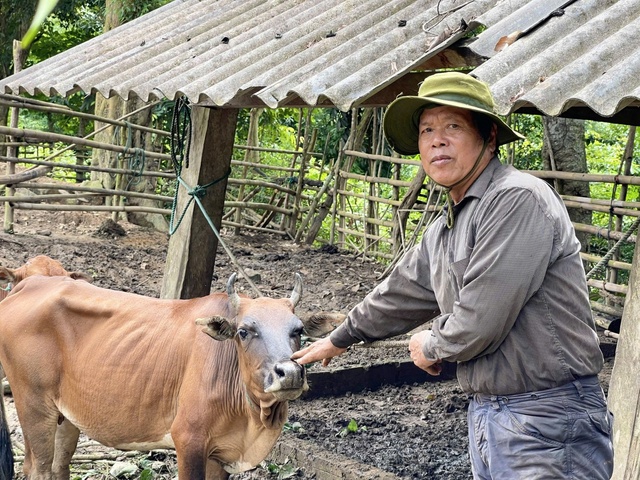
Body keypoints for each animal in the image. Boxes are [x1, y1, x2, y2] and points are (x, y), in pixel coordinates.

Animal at [0, 274, 340, 480]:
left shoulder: (221, 455)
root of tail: (29, 283)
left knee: (58, 466)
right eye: (244, 331)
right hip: (34, 406)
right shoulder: (188, 439)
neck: (252, 418)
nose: (290, 372)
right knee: (38, 468)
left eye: (298, 330)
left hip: (66, 415)